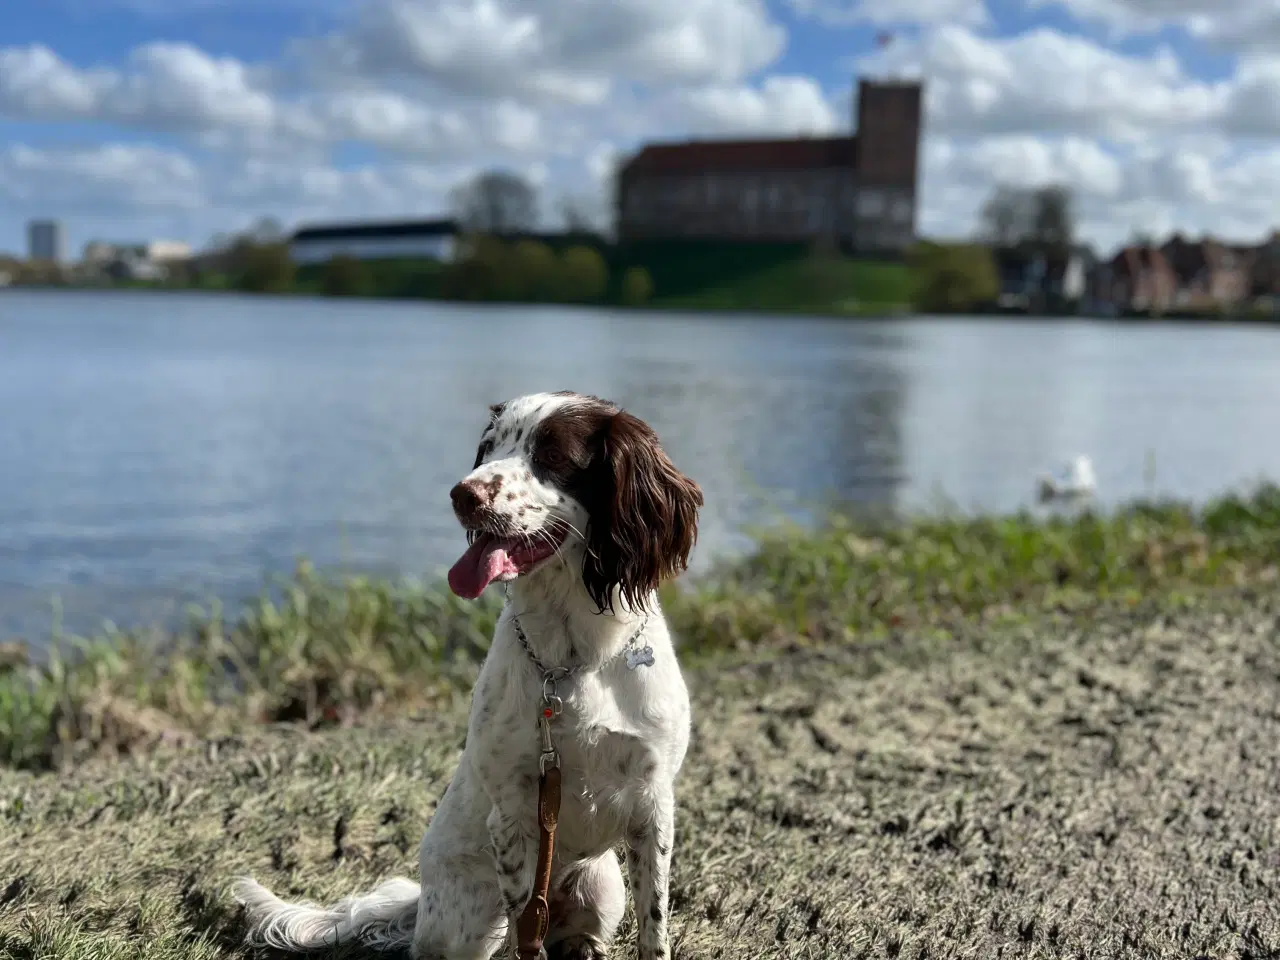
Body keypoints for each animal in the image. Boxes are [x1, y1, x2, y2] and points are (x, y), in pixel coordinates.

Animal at [235, 391, 706, 960]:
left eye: (553, 454)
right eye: (489, 447)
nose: (462, 493)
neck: (575, 658)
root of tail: (419, 903)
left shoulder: (653, 807)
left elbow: (653, 925)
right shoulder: (513, 817)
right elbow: (526, 931)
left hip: (601, 886)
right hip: (471, 914)